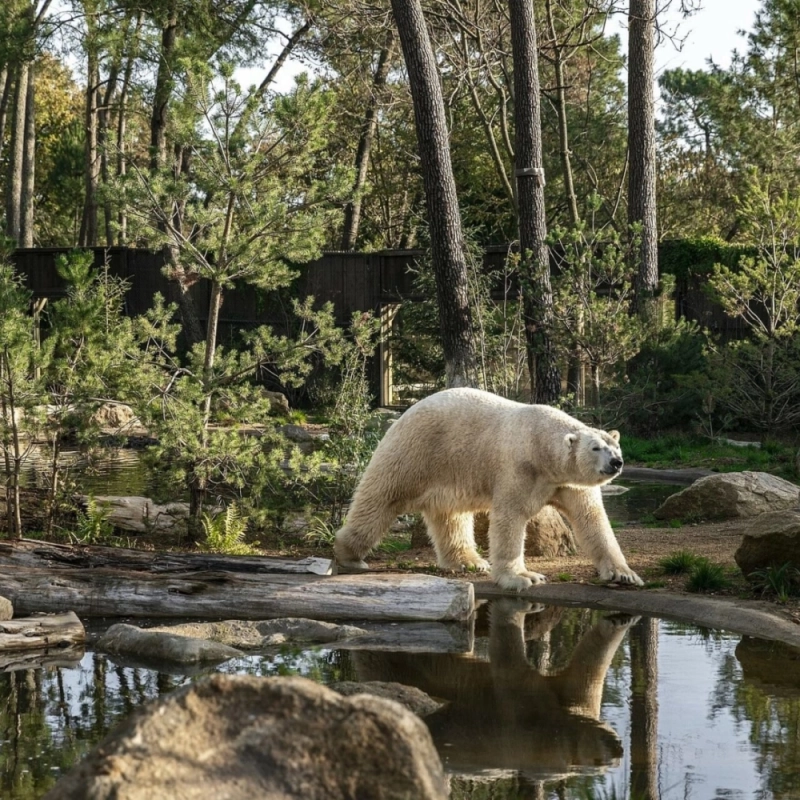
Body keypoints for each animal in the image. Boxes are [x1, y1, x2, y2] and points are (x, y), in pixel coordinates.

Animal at [332, 386, 644, 588]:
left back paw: (470, 561)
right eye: (595, 448)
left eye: (615, 446)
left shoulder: (568, 482)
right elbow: (509, 517)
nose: (616, 462)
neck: (541, 446)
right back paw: (349, 556)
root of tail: (405, 412)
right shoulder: (518, 468)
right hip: (415, 453)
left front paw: (625, 575)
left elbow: (592, 520)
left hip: (448, 471)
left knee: (451, 517)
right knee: (380, 499)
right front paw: (524, 577)